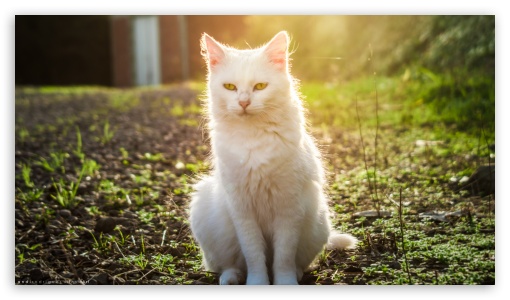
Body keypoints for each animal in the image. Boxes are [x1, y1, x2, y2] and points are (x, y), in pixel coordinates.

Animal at [188, 31, 358, 286]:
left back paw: (295, 275)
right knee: (226, 265)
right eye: (230, 87)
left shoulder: (289, 207)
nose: (244, 102)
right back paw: (232, 278)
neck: (253, 137)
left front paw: (285, 282)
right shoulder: (242, 210)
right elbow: (254, 255)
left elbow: (283, 257)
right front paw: (258, 283)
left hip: (317, 223)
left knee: (297, 263)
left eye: (260, 86)